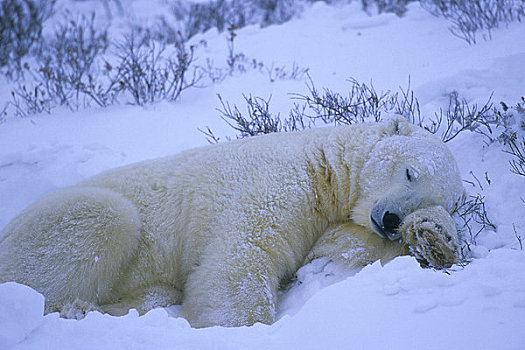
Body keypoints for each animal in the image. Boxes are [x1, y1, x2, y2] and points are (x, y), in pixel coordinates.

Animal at [0, 117, 464, 328]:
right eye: (409, 172)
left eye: (430, 196)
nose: (390, 218)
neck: (324, 168)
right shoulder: (276, 185)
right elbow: (244, 254)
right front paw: (242, 327)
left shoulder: (327, 219)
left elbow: (341, 249)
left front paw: (433, 237)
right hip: (51, 226)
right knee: (103, 220)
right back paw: (74, 309)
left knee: (155, 289)